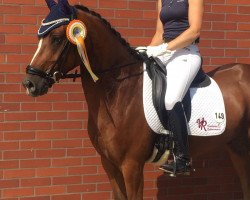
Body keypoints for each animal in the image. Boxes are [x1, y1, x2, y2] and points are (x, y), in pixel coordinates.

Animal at [23, 3, 250, 200]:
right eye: (39, 37)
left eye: (56, 38)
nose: (30, 83)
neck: (119, 93)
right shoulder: (109, 164)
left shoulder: (131, 165)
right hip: (238, 146)